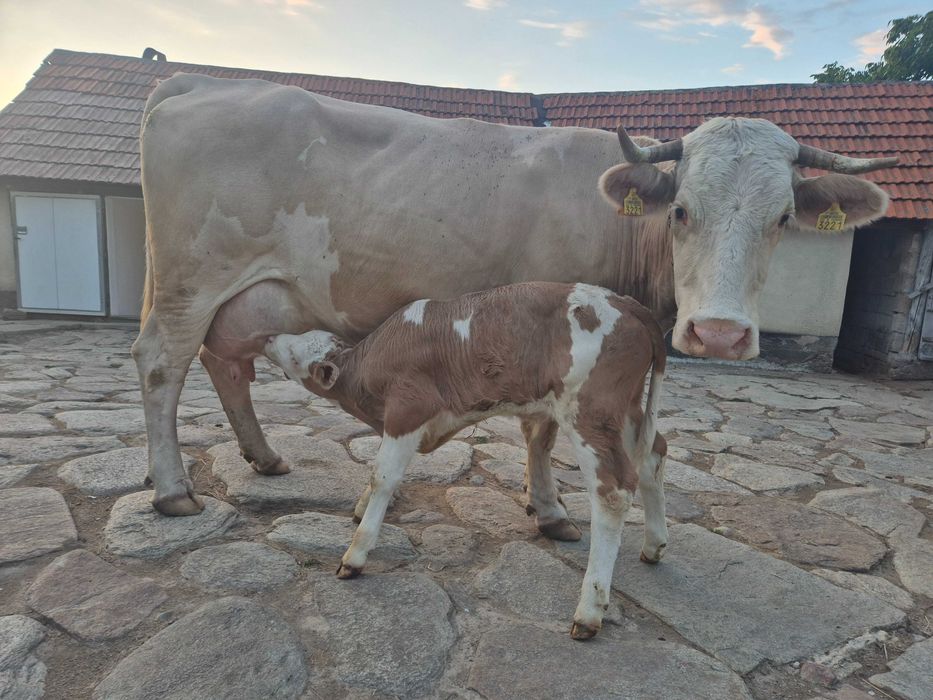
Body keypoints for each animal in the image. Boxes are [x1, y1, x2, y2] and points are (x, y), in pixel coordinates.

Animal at [133, 72, 897, 519]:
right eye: (681, 210)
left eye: (782, 219)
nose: (718, 334)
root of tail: (197, 84)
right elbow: (541, 428)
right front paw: (550, 508)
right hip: (190, 279)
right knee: (162, 365)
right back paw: (172, 490)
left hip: (244, 295)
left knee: (225, 362)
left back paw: (262, 457)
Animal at [257, 281, 666, 639]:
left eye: (294, 351)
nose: (268, 337)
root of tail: (628, 302)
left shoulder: (407, 408)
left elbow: (383, 476)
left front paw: (355, 554)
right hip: (626, 412)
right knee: (654, 455)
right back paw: (654, 545)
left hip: (589, 411)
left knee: (613, 490)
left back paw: (589, 610)